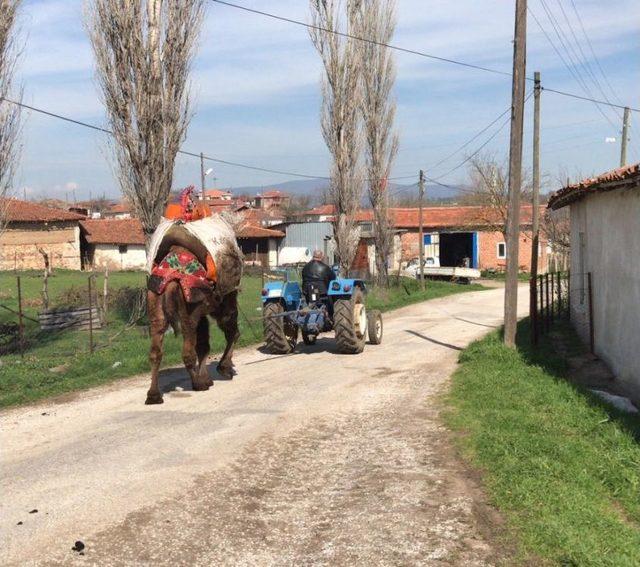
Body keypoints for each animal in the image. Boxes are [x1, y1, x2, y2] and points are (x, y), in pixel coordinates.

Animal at [144, 212, 242, 404]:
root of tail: (173, 279)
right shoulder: (224, 301)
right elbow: (231, 331)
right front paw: (223, 369)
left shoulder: (200, 311)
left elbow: (204, 344)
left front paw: (209, 377)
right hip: (189, 313)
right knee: (188, 351)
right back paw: (198, 384)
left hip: (156, 306)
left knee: (155, 352)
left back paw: (153, 395)